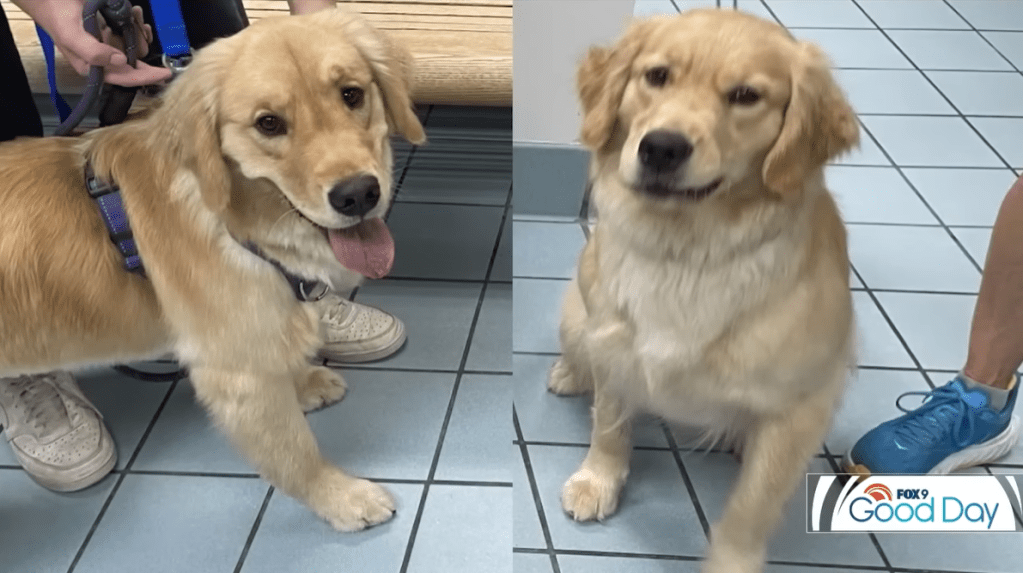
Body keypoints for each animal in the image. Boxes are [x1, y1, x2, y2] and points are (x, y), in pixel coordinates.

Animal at [0, 8, 423, 532]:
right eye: (268, 123)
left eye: (352, 94)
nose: (358, 194)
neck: (232, 219)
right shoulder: (236, 374)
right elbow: (294, 451)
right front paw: (341, 497)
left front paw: (303, 383)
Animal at [552, 8, 855, 573]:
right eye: (656, 76)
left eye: (745, 95)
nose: (661, 147)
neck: (687, 252)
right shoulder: (613, 345)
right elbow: (610, 424)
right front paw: (597, 480)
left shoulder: (801, 408)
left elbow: (752, 506)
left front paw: (730, 560)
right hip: (575, 314)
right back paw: (568, 373)